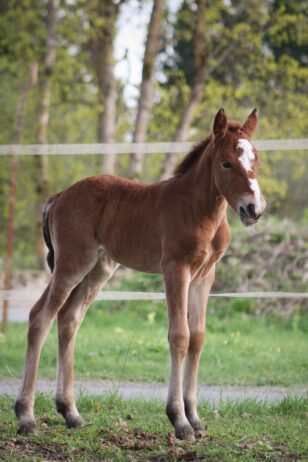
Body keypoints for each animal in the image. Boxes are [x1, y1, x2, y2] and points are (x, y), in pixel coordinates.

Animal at [15, 108, 264, 440]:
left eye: (256, 160)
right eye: (226, 163)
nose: (254, 209)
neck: (199, 210)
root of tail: (60, 195)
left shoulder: (204, 277)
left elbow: (198, 337)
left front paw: (195, 418)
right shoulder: (175, 269)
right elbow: (180, 335)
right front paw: (179, 419)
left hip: (99, 269)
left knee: (69, 319)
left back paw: (70, 412)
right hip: (72, 263)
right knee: (41, 316)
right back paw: (26, 417)